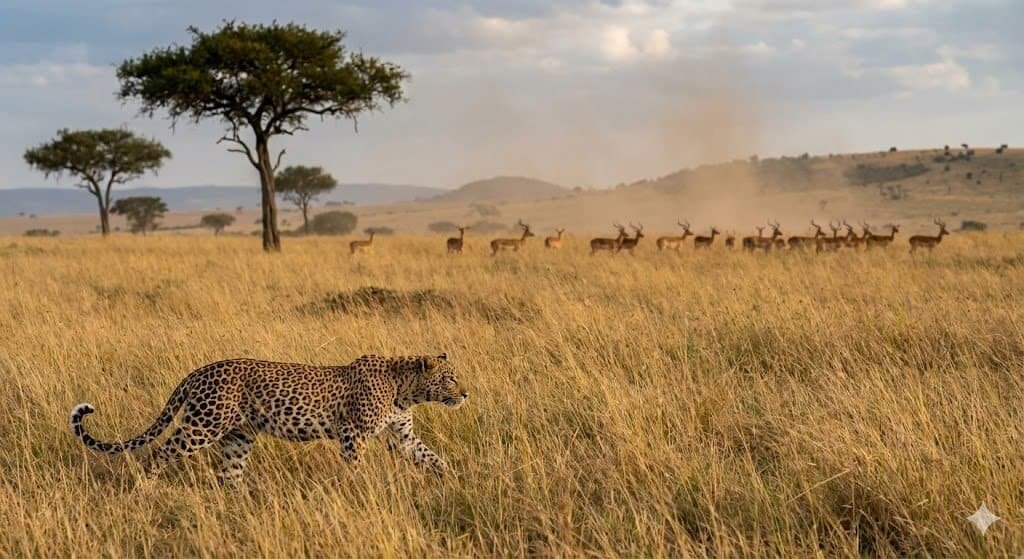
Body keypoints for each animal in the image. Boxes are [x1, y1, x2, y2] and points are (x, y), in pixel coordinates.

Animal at [68, 353, 468, 481]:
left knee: (229, 472)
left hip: (239, 436)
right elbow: (356, 466)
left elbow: (431, 457)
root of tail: (200, 371)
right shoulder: (353, 434)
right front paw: (363, 488)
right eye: (450, 378)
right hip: (203, 425)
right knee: (159, 452)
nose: (466, 393)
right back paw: (146, 490)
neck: (406, 391)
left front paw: (454, 480)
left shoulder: (403, 435)